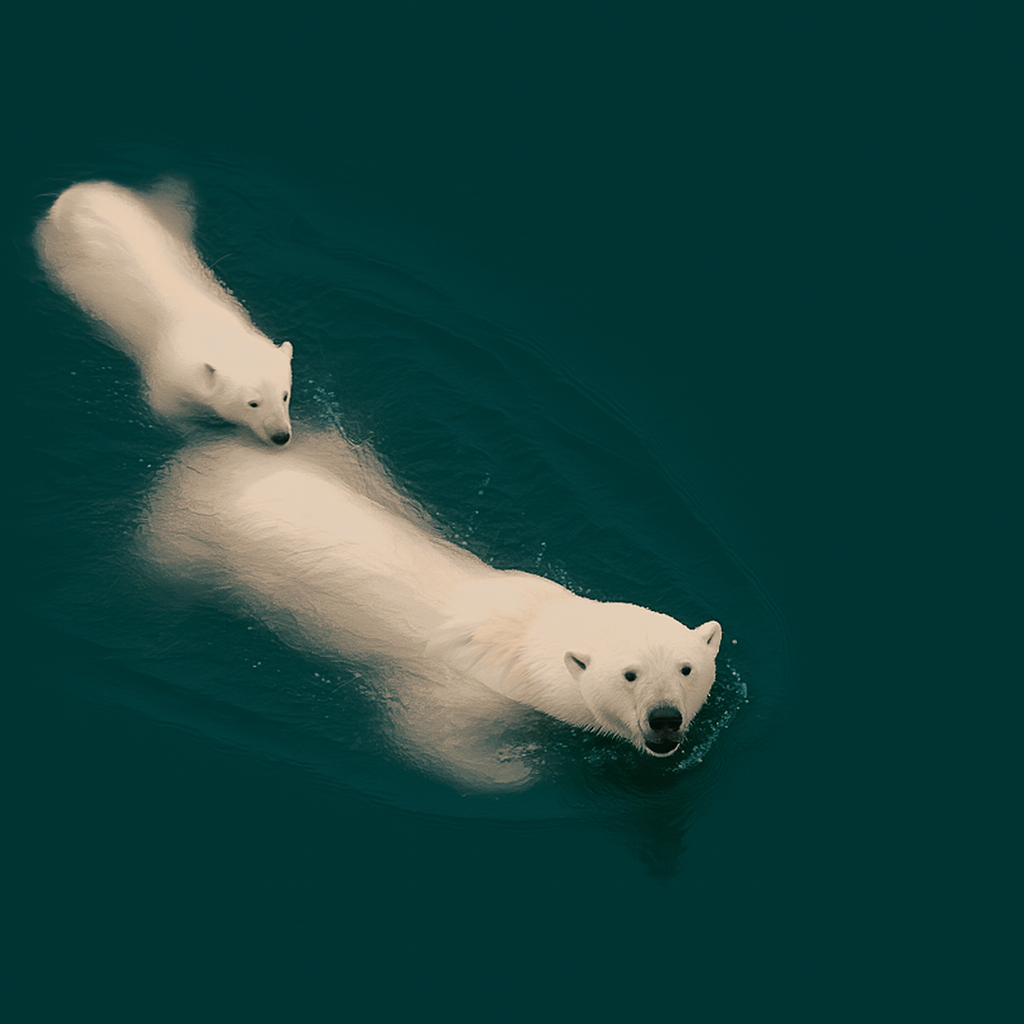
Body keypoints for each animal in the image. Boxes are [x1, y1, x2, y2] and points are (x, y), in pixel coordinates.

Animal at [34, 180, 294, 446]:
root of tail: (73, 194)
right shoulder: (168, 377)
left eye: (285, 395)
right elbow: (167, 414)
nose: (280, 436)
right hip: (51, 250)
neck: (213, 331)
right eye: (253, 403)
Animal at [143, 432, 722, 789]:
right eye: (630, 674)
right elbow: (434, 742)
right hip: (183, 542)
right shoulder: (462, 694)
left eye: (686, 669)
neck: (529, 632)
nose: (665, 719)